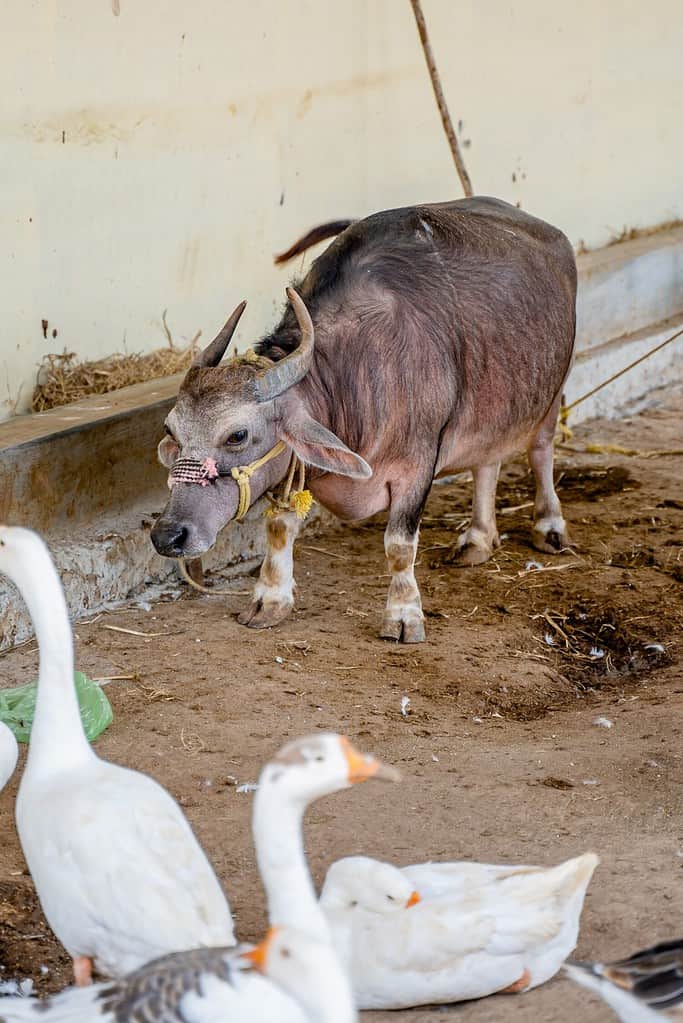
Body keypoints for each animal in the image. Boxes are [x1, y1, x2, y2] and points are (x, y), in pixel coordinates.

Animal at [150, 196, 576, 642]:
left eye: (237, 435)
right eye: (171, 430)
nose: (168, 535)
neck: (354, 374)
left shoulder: (417, 466)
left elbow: (399, 545)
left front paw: (403, 615)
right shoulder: (294, 469)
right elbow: (280, 529)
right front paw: (269, 600)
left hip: (551, 393)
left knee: (541, 451)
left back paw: (549, 526)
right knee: (486, 463)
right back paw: (477, 538)